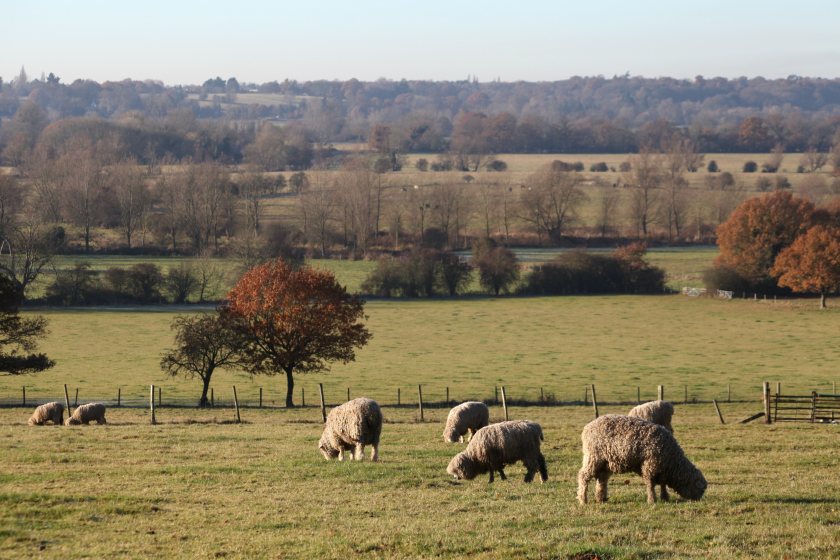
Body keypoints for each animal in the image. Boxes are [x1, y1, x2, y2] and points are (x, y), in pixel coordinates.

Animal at [576, 414, 704, 506]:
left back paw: (601, 498)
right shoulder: (650, 465)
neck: (673, 462)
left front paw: (665, 497)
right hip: (593, 457)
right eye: (699, 488)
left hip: (605, 462)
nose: (698, 501)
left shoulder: (661, 469)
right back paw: (583, 500)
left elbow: (662, 484)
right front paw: (652, 500)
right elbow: (650, 484)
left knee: (601, 479)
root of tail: (587, 428)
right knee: (583, 476)